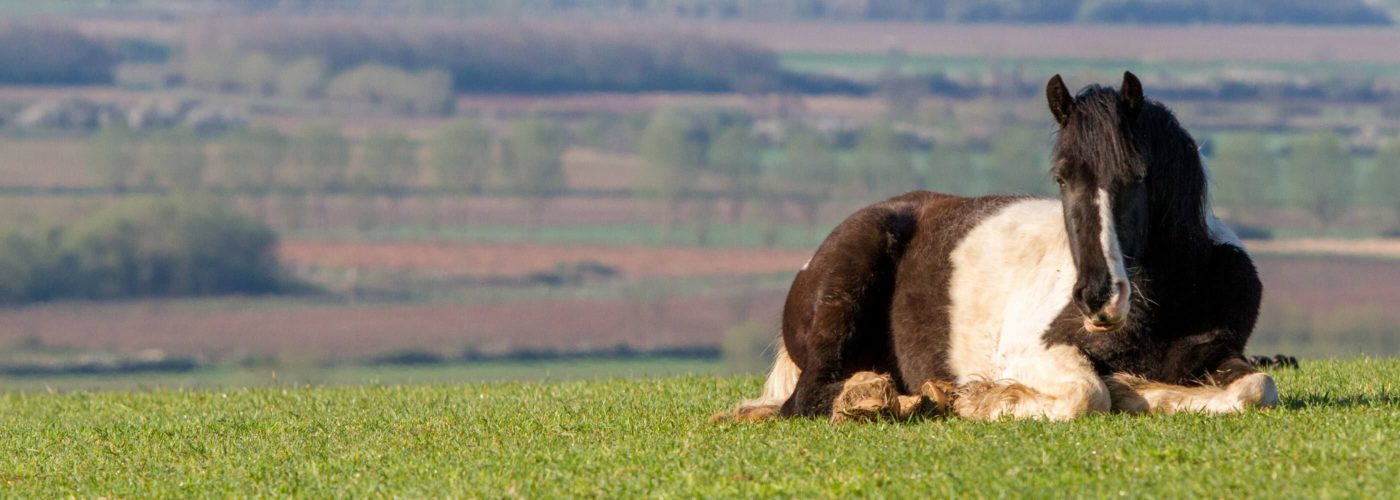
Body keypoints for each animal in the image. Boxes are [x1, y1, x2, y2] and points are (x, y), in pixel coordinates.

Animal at [722, 71, 1282, 420]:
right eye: (1061, 178)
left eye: (1138, 175)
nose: (1099, 298)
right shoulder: (1031, 351)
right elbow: (1088, 393)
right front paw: (978, 401)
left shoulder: (1220, 355)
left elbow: (1257, 389)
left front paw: (1142, 391)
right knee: (809, 397)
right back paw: (899, 400)